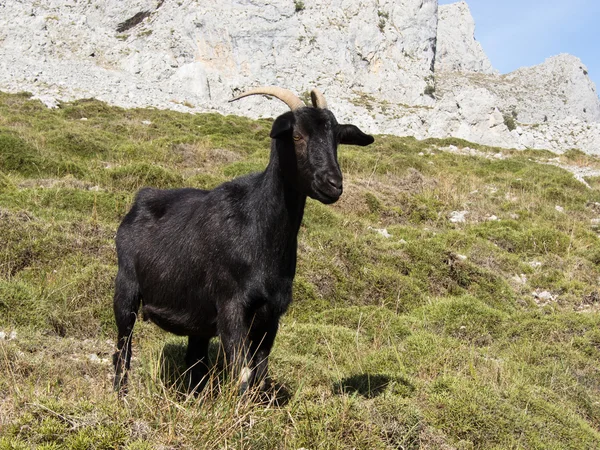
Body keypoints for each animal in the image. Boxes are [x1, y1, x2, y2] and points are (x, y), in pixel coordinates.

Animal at [112, 86, 372, 392]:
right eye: (297, 135)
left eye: (337, 139)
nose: (333, 184)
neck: (259, 230)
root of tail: (140, 200)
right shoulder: (232, 306)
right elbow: (241, 371)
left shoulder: (271, 315)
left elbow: (259, 371)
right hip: (126, 290)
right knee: (123, 349)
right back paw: (119, 394)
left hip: (197, 316)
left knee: (195, 360)